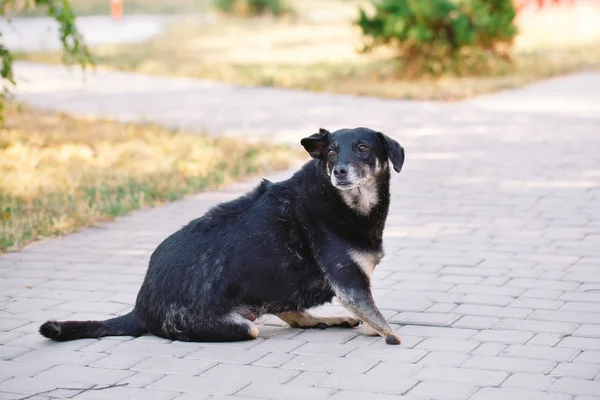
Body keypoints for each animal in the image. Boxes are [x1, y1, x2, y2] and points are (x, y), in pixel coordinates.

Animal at [39, 127, 406, 344]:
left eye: (362, 147)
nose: (339, 171)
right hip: (238, 325)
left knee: (290, 313)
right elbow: (377, 316)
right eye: (331, 152)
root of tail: (140, 309)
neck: (344, 202)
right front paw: (391, 335)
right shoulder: (349, 282)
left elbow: (370, 315)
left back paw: (326, 320)